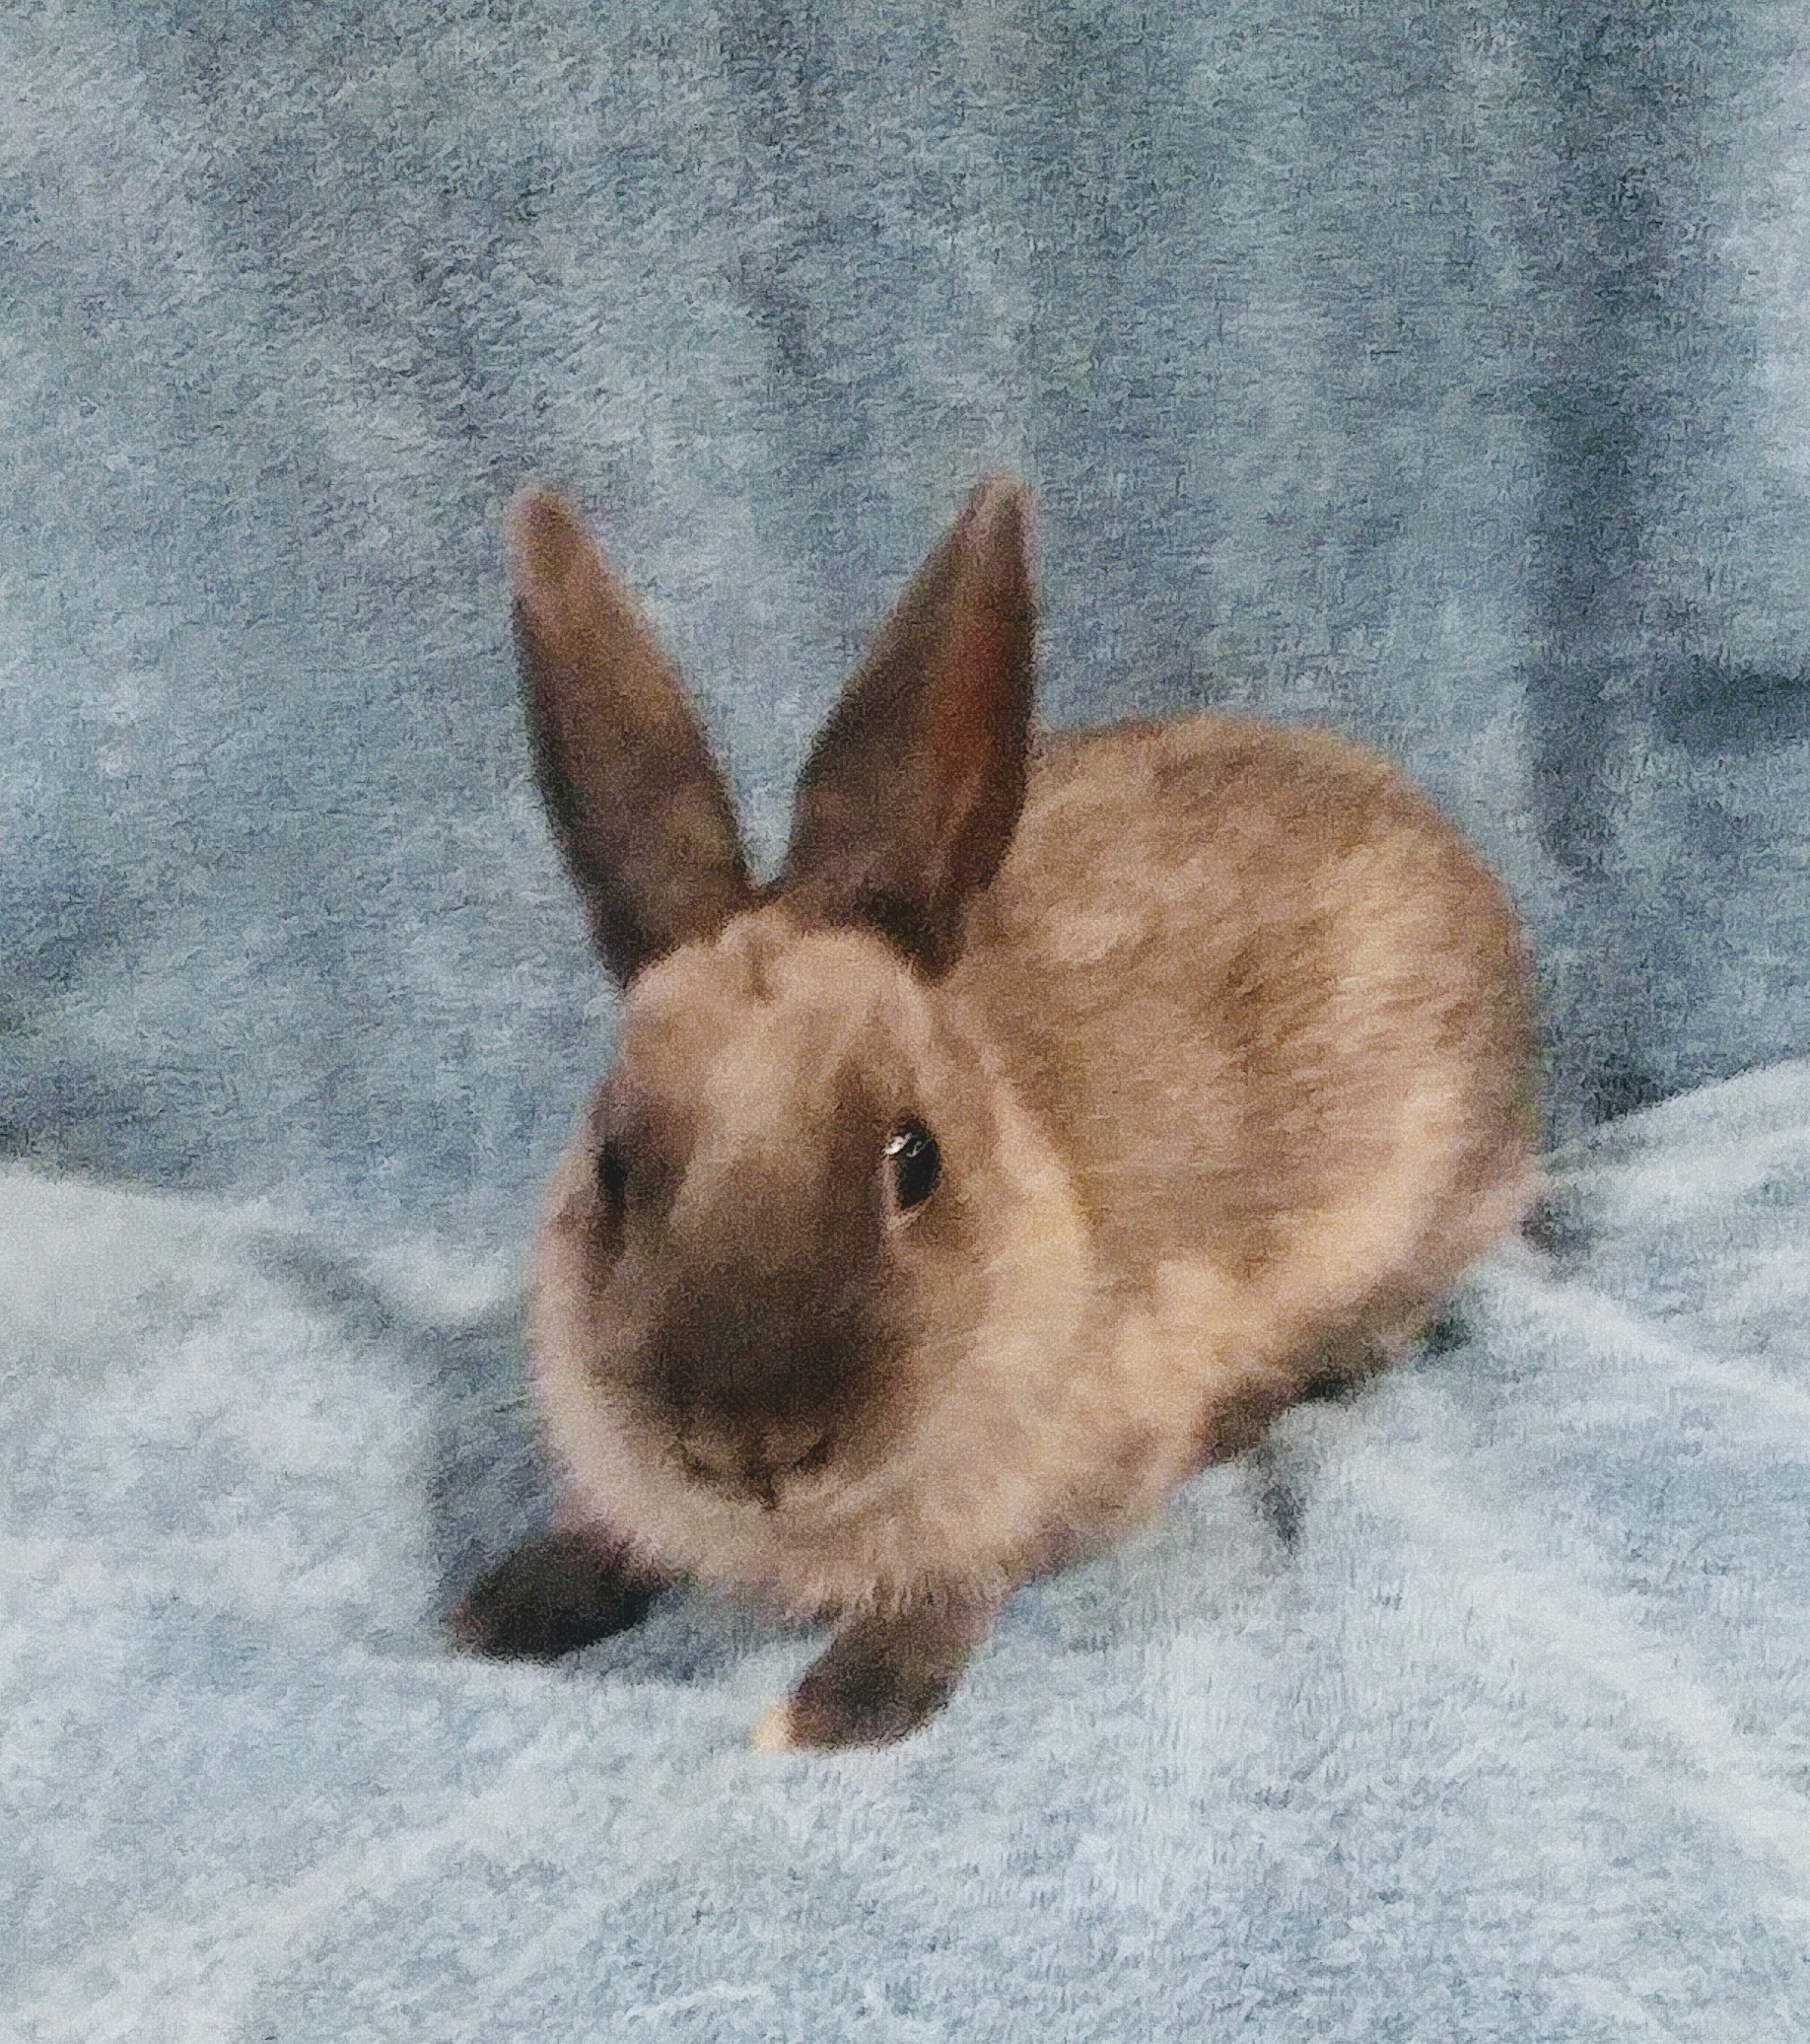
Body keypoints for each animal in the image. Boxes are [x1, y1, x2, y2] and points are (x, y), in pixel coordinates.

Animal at [449, 475, 1542, 1750]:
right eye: (611, 1168)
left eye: (913, 1161)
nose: (750, 1447)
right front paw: (501, 1607)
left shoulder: (1044, 1492)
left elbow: (953, 1592)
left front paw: (831, 1714)